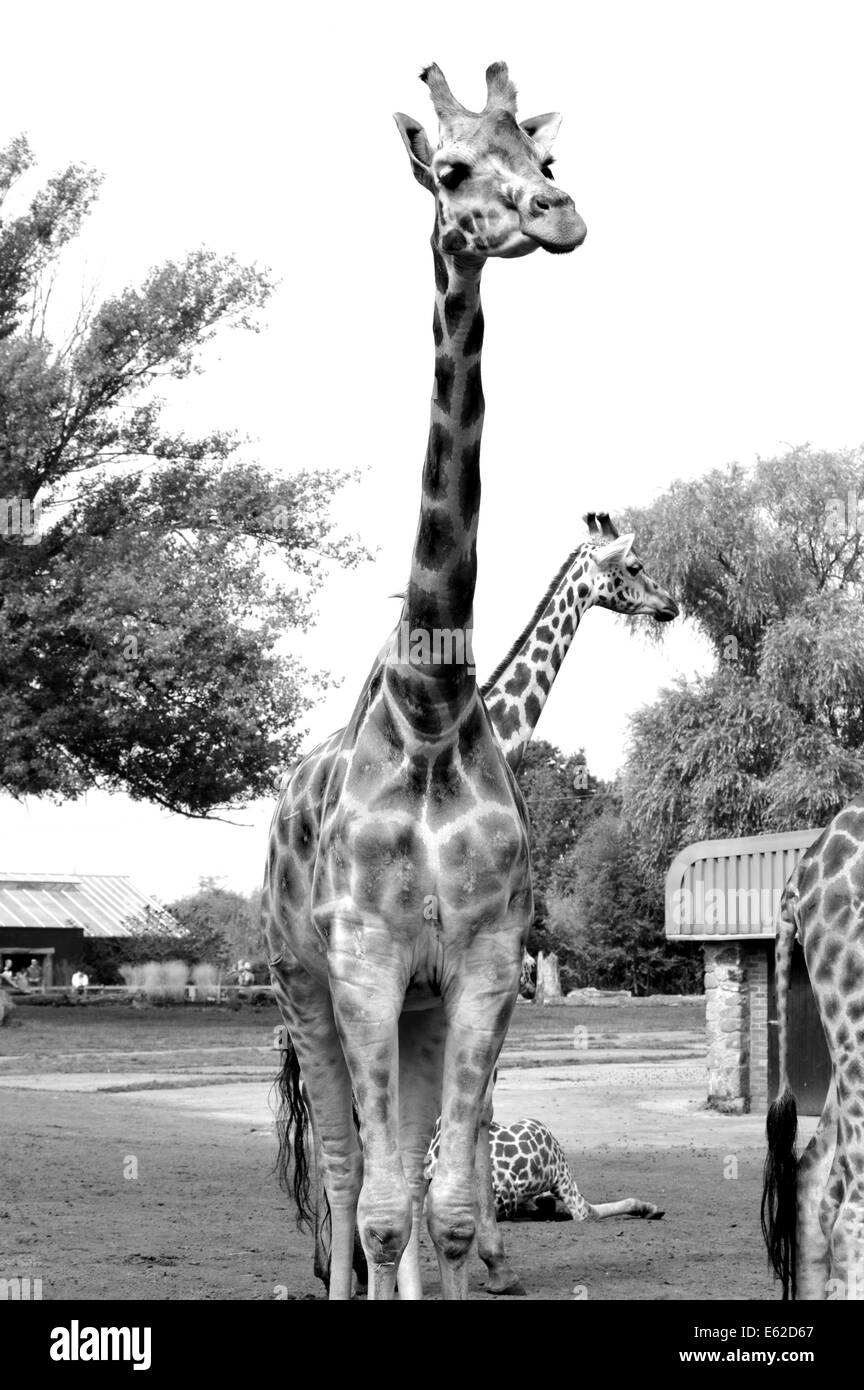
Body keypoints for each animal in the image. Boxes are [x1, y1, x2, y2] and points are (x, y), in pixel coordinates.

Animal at [263, 58, 588, 1303]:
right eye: (449, 171)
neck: (435, 707)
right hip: (300, 988)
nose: (560, 213)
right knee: (345, 1176)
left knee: (392, 1173)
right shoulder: (361, 961)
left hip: (413, 1003)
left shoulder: (481, 961)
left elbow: (443, 1207)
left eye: (541, 157)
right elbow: (383, 1203)